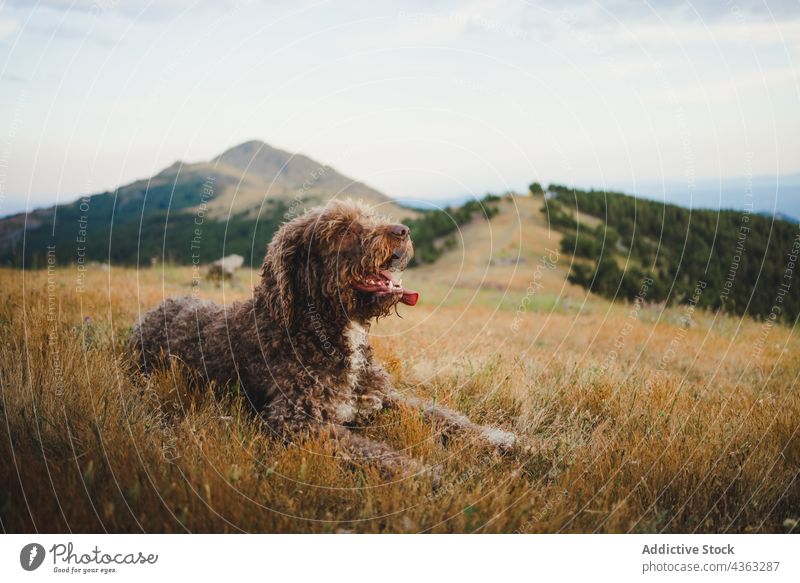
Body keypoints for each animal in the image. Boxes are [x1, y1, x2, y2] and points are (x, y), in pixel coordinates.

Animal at [128, 201, 516, 480]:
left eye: (368, 216)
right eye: (342, 229)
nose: (402, 231)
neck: (323, 330)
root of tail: (151, 311)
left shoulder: (380, 397)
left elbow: (442, 415)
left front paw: (498, 438)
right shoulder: (297, 421)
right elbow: (373, 450)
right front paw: (427, 474)